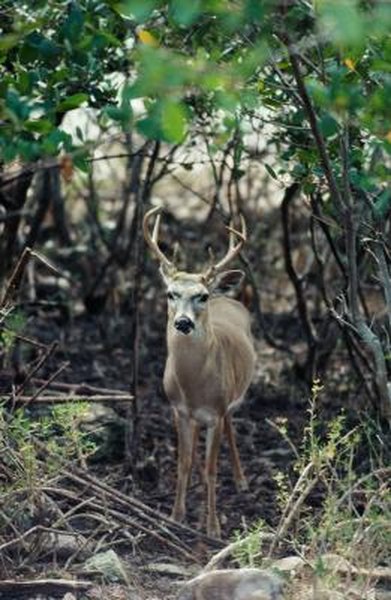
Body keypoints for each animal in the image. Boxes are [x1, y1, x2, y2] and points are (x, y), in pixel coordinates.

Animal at [144, 206, 258, 540]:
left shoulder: (215, 413)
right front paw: (175, 515)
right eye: (170, 293)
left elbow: (211, 469)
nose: (182, 322)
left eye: (202, 296)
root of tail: (229, 297)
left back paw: (242, 481)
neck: (194, 386)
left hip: (234, 397)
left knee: (232, 426)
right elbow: (183, 462)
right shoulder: (178, 409)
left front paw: (213, 527)